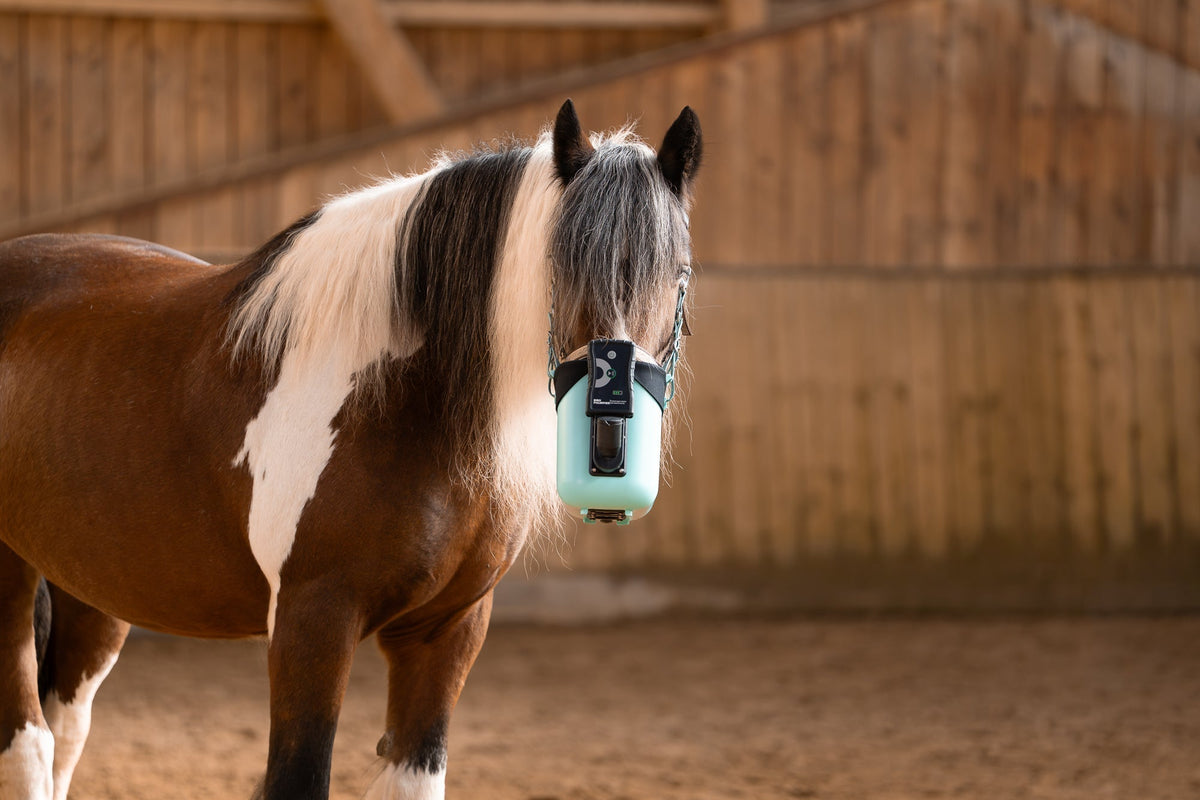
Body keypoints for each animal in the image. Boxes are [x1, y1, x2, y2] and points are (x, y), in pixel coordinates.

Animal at [0, 99, 701, 800]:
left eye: (679, 274)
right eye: (559, 268)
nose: (608, 452)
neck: (401, 403)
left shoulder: (446, 631)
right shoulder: (311, 623)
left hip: (92, 587)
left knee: (65, 734)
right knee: (29, 745)